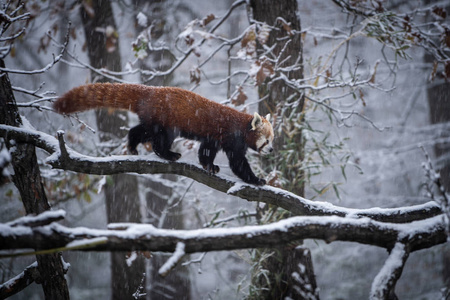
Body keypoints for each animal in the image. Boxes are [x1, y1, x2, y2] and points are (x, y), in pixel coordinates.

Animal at [54, 82, 276, 185]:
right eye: (266, 141)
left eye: (273, 140)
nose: (272, 150)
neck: (241, 125)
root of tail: (149, 91)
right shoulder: (230, 136)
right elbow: (238, 163)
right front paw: (256, 180)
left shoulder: (214, 137)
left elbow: (206, 150)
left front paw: (209, 165)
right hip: (165, 120)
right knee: (160, 139)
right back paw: (168, 154)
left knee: (140, 131)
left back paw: (132, 145)